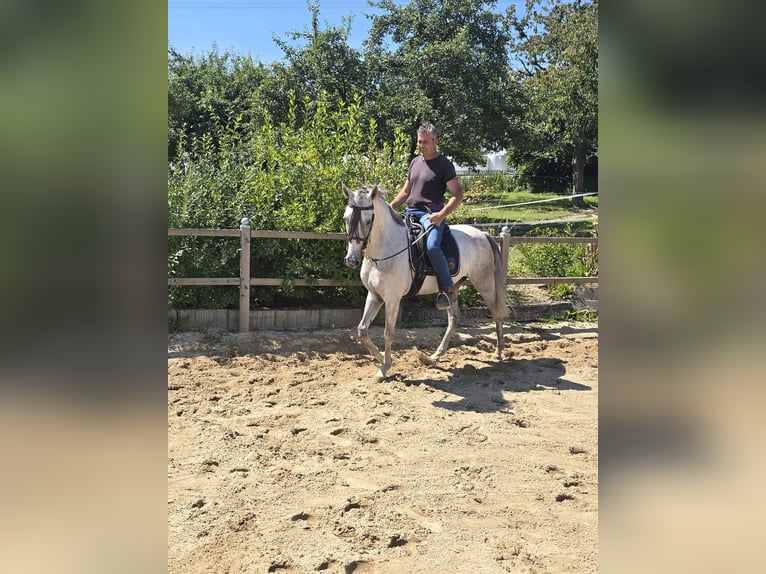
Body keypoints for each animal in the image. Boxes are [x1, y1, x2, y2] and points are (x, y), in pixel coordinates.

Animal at [344, 184, 510, 382]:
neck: (385, 251)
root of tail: (483, 234)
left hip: (484, 284)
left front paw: (384, 368)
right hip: (453, 288)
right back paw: (435, 355)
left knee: (496, 314)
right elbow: (362, 329)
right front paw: (380, 357)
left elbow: (388, 333)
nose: (352, 260)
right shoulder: (374, 295)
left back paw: (498, 352)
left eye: (368, 220)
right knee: (453, 320)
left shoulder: (392, 299)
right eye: (345, 218)